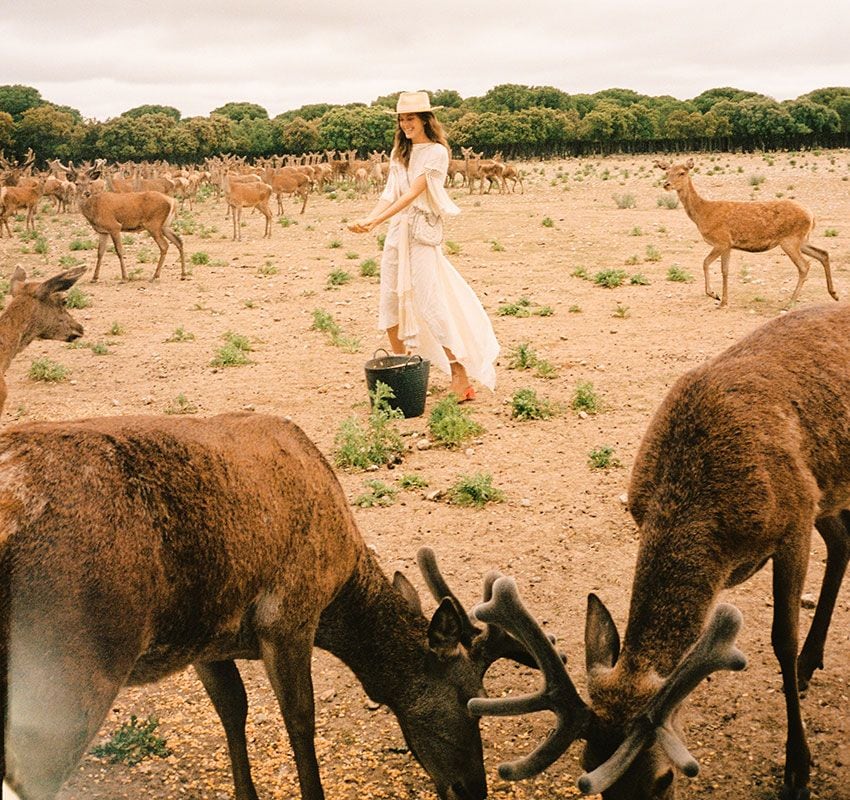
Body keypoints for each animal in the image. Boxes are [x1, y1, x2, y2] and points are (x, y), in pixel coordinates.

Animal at [1, 412, 536, 800]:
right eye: (470, 704)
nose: (473, 790)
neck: (339, 591)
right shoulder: (289, 615)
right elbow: (300, 720)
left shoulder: (207, 640)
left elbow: (232, 710)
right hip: (65, 668)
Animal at [464, 298, 848, 800]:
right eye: (594, 778)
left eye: (664, 779)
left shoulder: (796, 518)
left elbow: (782, 639)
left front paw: (798, 771)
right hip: (830, 492)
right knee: (842, 541)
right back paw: (811, 662)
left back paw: (805, 666)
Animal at [656, 158, 836, 308]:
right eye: (667, 171)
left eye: (682, 172)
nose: (666, 184)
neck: (703, 214)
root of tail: (812, 216)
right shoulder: (728, 245)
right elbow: (725, 270)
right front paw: (723, 301)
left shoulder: (721, 240)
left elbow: (705, 263)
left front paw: (714, 295)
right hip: (802, 240)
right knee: (823, 253)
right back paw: (834, 294)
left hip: (790, 240)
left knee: (804, 265)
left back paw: (790, 303)